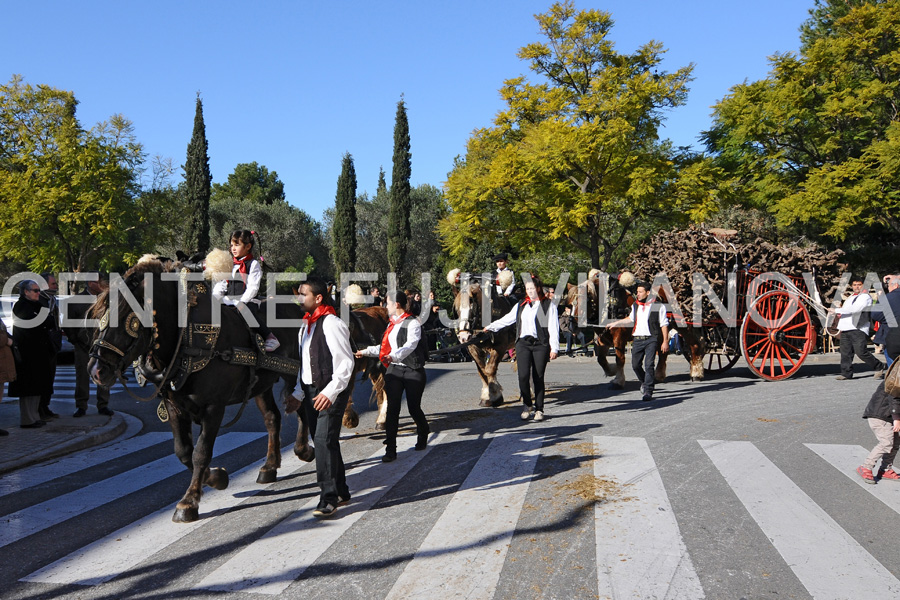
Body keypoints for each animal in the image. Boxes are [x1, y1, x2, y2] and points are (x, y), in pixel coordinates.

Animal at [446, 272, 516, 408]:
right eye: (456, 309)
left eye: (471, 308)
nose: (463, 337)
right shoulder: (473, 348)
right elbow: (482, 371)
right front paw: (486, 396)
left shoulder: (500, 346)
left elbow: (490, 369)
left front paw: (495, 395)